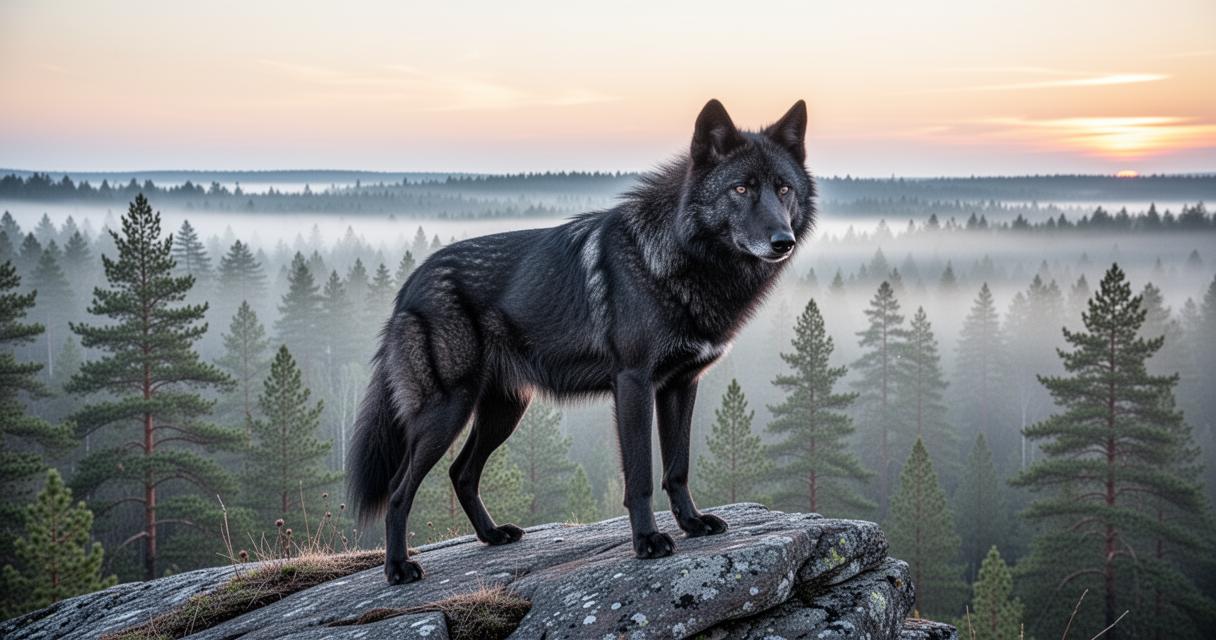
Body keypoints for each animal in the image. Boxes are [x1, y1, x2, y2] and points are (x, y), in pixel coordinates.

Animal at [349, 99, 815, 584]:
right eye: (741, 188)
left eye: (783, 189)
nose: (782, 241)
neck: (678, 258)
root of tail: (410, 284)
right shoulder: (633, 385)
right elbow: (641, 476)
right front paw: (648, 541)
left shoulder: (680, 386)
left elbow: (678, 467)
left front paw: (692, 523)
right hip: (447, 413)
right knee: (399, 490)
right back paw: (398, 567)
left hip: (503, 412)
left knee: (462, 473)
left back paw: (492, 536)